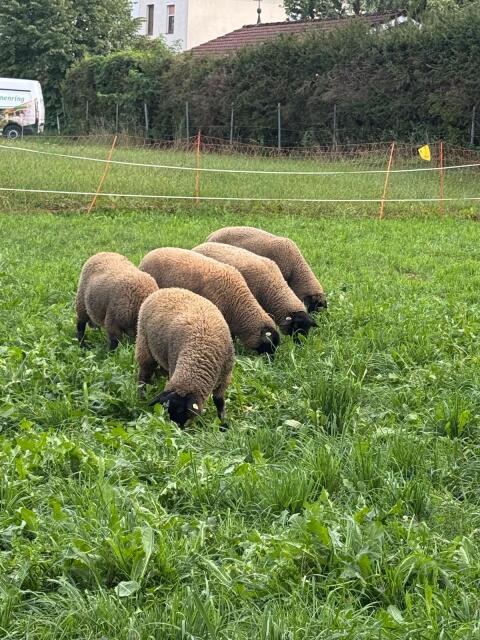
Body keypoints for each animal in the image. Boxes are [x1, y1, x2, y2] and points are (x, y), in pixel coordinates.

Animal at [136, 288, 235, 429]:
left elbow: (219, 402)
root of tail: (165, 290)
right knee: (144, 375)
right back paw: (142, 395)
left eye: (183, 412)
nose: (177, 430)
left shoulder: (225, 377)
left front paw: (223, 423)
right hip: (144, 345)